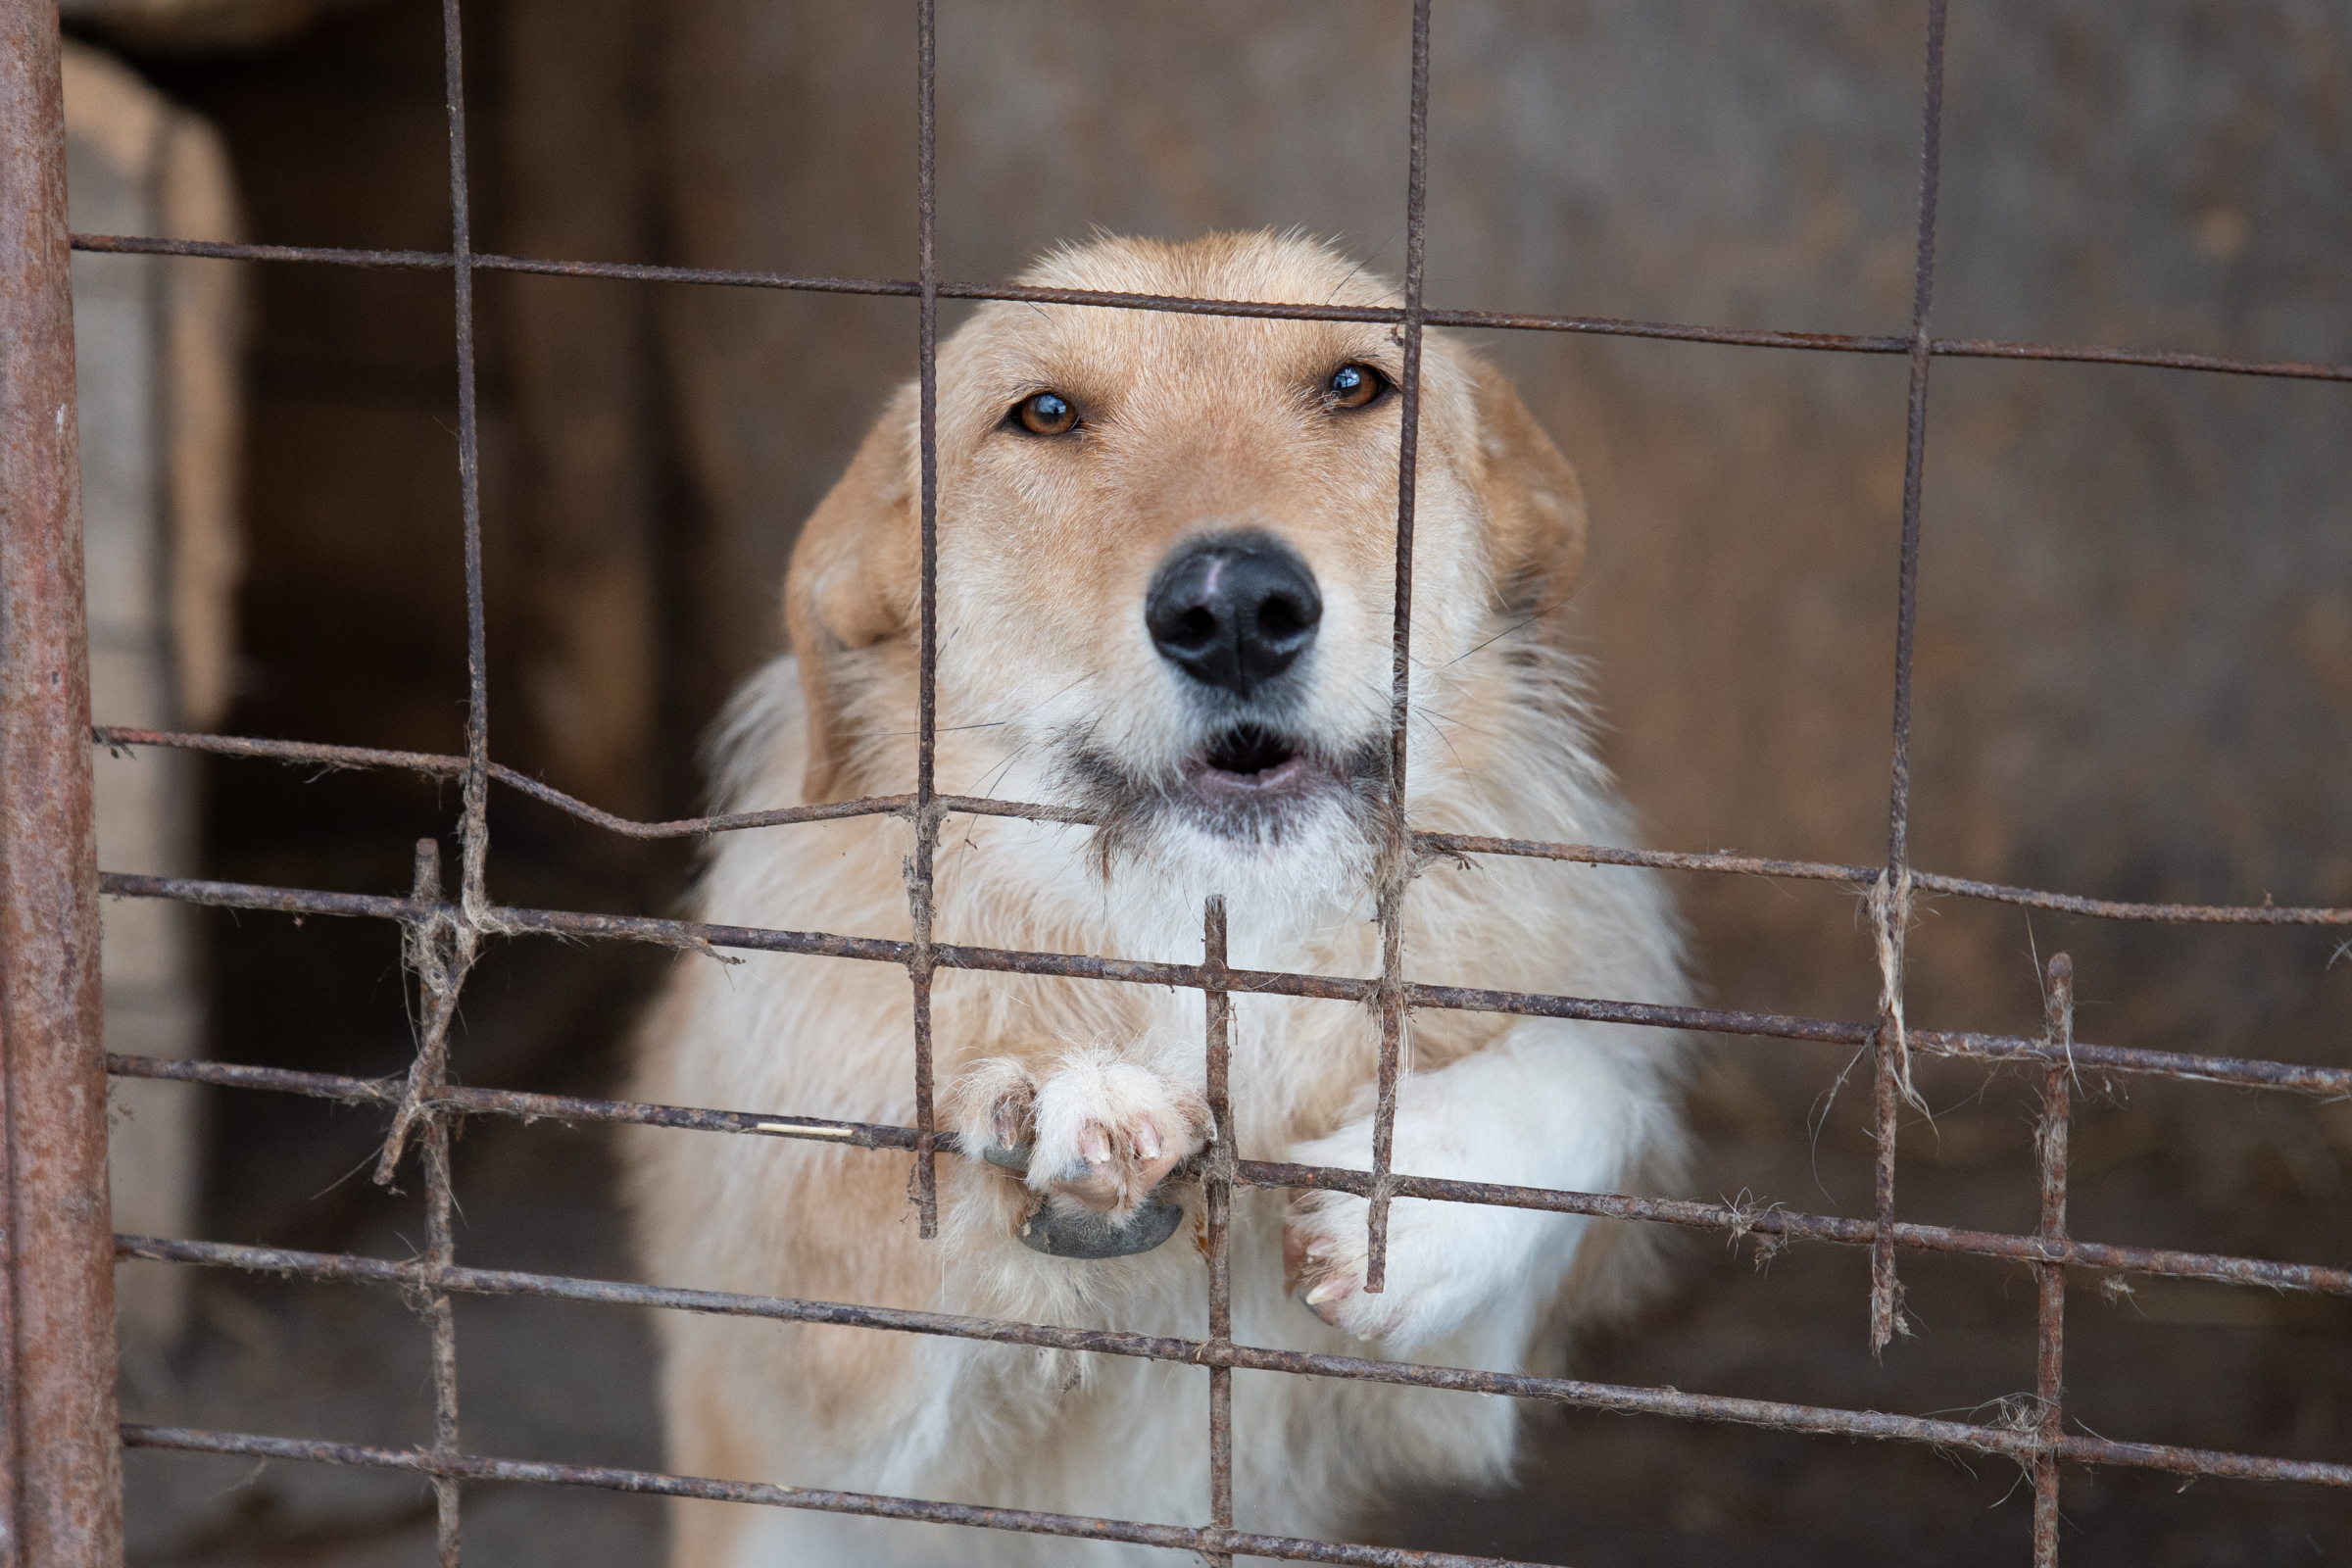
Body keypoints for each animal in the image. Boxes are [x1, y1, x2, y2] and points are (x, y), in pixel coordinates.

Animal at [625, 226, 1693, 1560]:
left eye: (1356, 384)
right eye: (1043, 413)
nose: (1234, 608)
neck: (1199, 944)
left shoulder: (1460, 1379)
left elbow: (1586, 1072)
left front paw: (1410, 1207)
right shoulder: (829, 1387)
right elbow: (890, 1227)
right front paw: (1053, 1097)